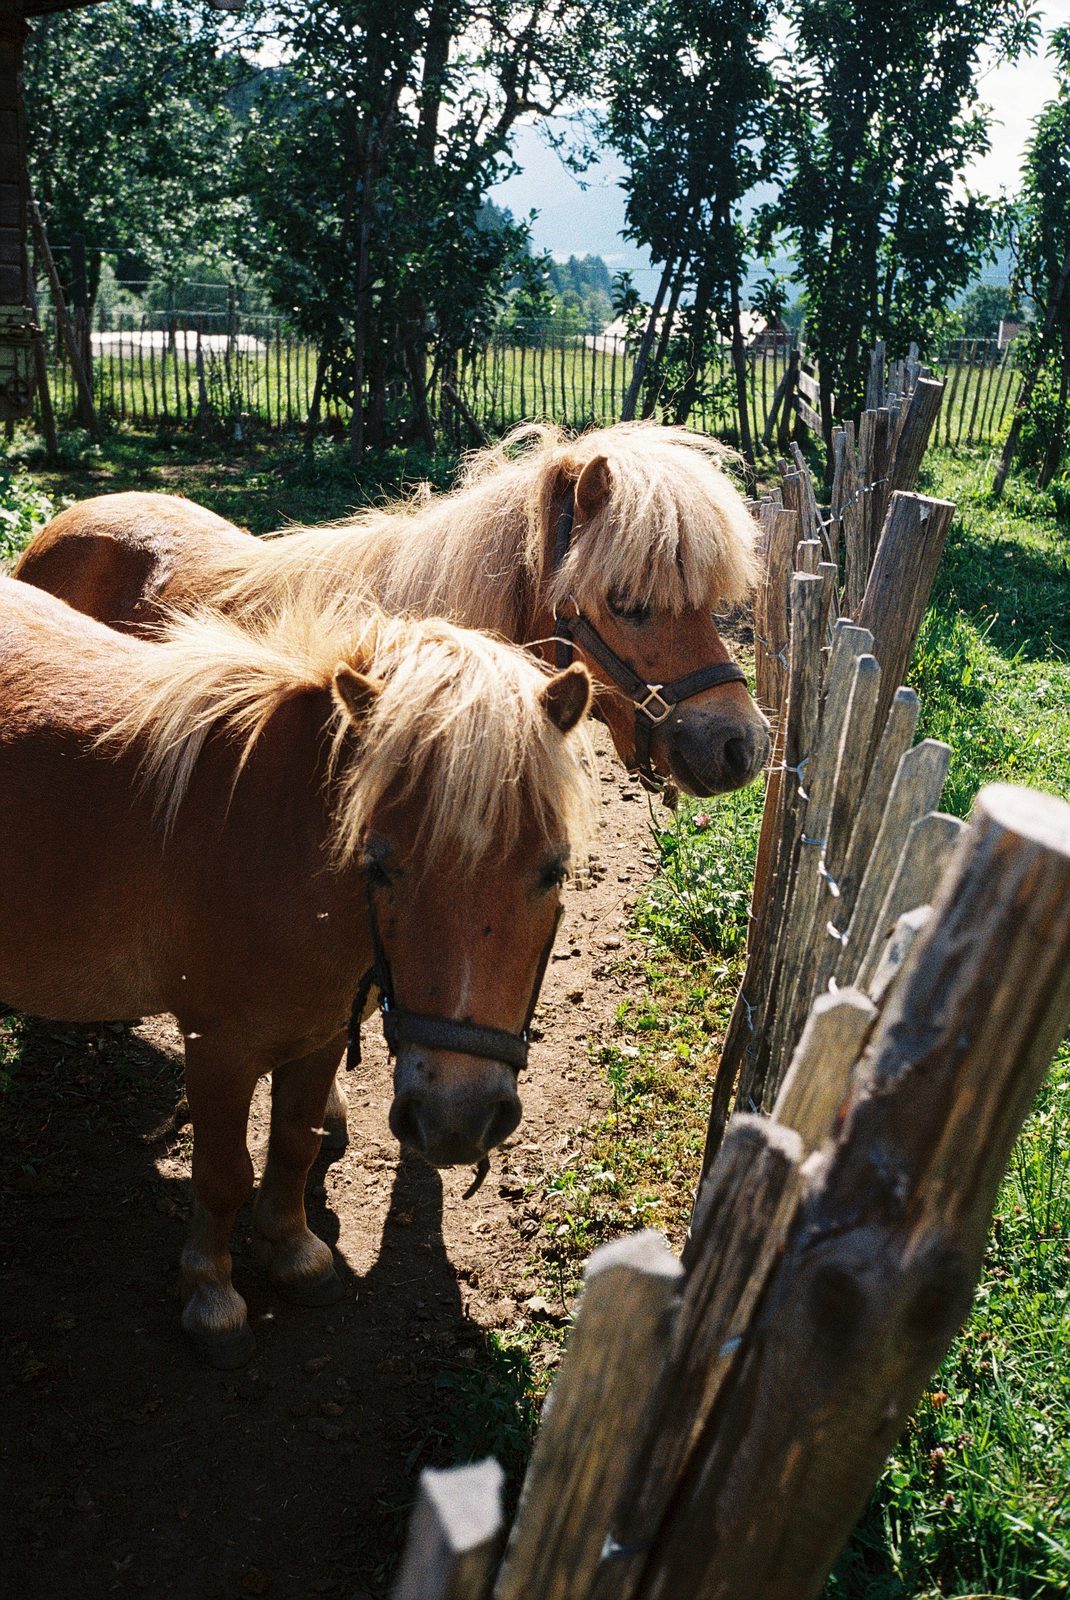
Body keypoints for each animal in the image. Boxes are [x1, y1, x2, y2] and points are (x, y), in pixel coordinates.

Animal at [0, 576, 594, 1366]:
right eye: (379, 863)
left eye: (553, 869)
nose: (456, 1122)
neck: (273, 846)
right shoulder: (217, 1050)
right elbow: (223, 1176)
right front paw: (212, 1296)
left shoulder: (318, 1039)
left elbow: (294, 1144)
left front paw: (293, 1252)